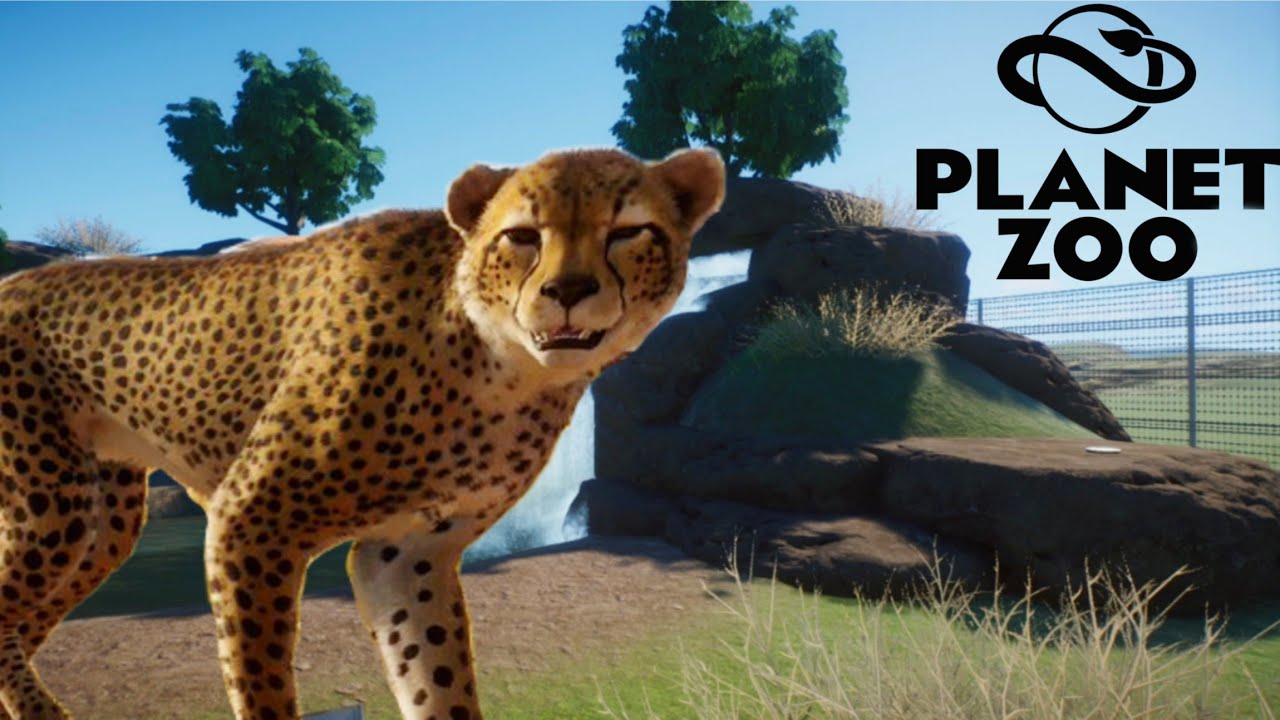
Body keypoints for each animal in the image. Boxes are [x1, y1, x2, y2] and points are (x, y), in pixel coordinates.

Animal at [0, 146, 725, 720]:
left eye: (629, 231)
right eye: (522, 236)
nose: (568, 290)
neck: (497, 364)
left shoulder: (407, 551)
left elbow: (435, 676)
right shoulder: (251, 520)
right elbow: (262, 684)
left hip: (104, 521)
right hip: (53, 508)